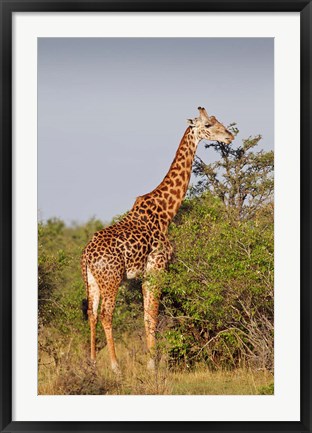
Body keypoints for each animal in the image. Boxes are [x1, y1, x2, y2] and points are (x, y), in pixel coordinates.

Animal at [81, 105, 234, 372]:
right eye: (208, 125)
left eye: (219, 121)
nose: (229, 136)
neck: (166, 211)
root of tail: (88, 255)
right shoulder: (157, 267)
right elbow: (152, 315)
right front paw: (153, 364)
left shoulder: (146, 273)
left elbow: (146, 315)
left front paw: (151, 360)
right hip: (111, 279)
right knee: (106, 315)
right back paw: (115, 366)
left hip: (91, 280)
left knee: (92, 313)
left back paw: (92, 363)